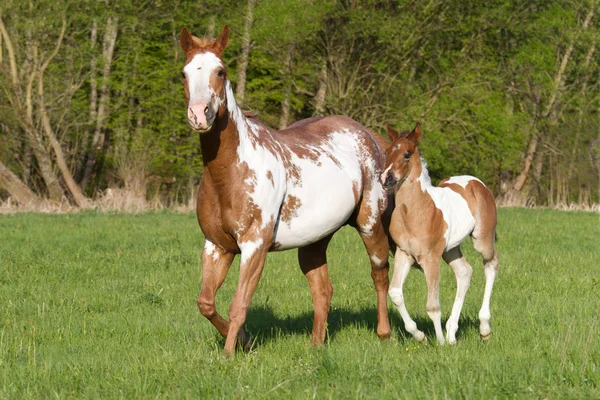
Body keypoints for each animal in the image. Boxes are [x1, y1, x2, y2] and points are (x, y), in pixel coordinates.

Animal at [179, 25, 394, 356]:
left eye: (220, 71)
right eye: (184, 73)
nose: (199, 115)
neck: (229, 175)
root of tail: (367, 133)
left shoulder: (254, 246)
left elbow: (238, 305)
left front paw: (228, 355)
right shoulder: (217, 245)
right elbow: (206, 303)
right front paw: (245, 341)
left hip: (369, 224)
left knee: (379, 272)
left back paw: (384, 334)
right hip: (315, 241)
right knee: (322, 290)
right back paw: (315, 345)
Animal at [382, 123, 500, 346]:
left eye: (407, 154)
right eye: (386, 152)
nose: (386, 178)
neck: (414, 212)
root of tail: (478, 183)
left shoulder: (430, 258)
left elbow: (433, 306)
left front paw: (439, 342)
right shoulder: (404, 254)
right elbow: (395, 293)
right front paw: (419, 335)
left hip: (481, 240)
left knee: (491, 264)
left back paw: (484, 328)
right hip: (450, 249)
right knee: (464, 272)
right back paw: (452, 333)